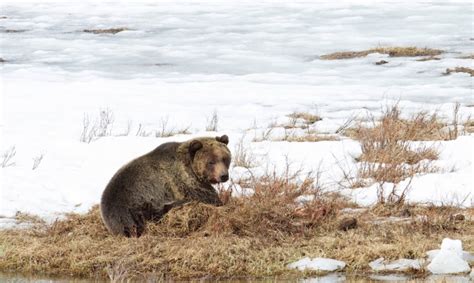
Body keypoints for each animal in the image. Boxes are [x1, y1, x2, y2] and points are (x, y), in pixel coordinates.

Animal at [100, 135, 231, 237]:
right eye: (211, 162)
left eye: (225, 158)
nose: (224, 176)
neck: (190, 167)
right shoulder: (184, 182)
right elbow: (205, 196)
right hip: (135, 206)